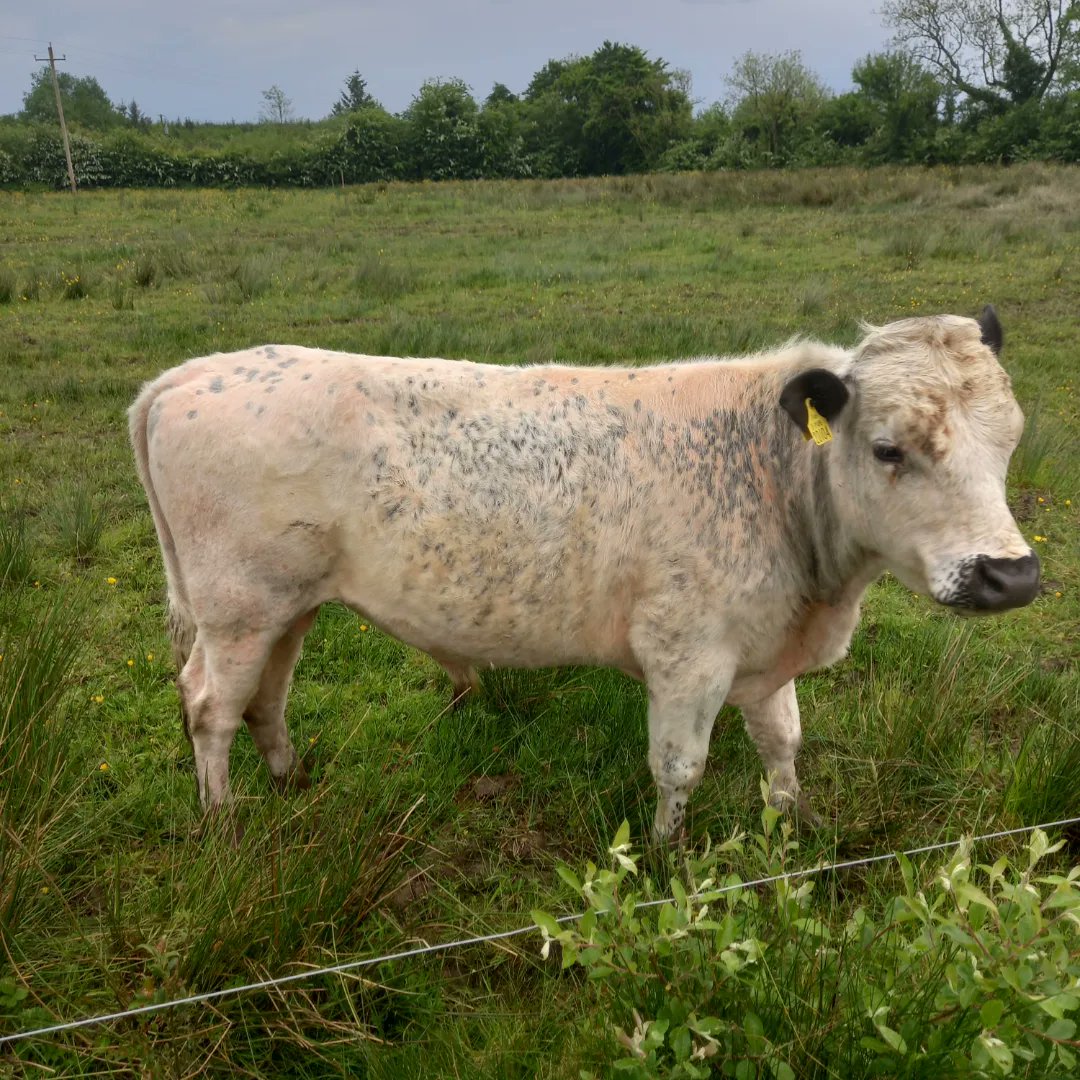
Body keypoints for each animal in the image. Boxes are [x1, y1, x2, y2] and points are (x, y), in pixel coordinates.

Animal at [128, 308, 1036, 838]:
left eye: (1012, 438)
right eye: (888, 449)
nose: (1011, 576)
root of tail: (187, 374)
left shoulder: (765, 645)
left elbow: (784, 742)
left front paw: (794, 824)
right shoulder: (686, 657)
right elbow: (679, 767)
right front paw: (671, 861)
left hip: (288, 606)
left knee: (265, 698)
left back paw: (291, 781)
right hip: (237, 609)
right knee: (209, 706)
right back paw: (225, 823)